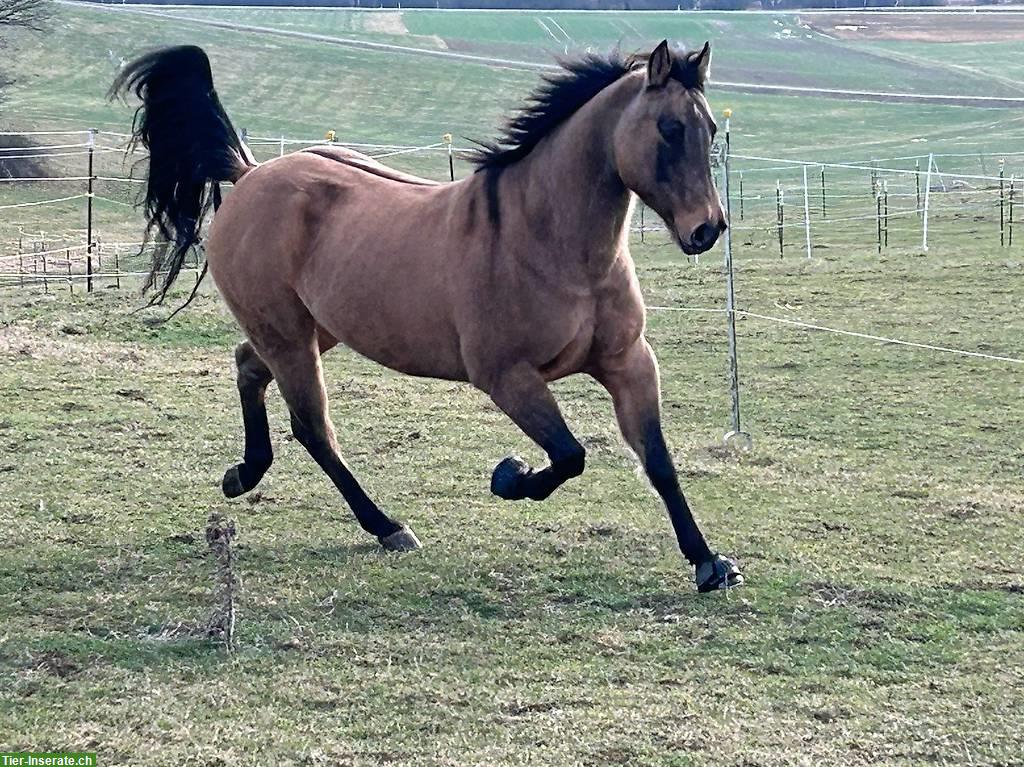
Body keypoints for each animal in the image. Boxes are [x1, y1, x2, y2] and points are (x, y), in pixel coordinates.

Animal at [114, 40, 745, 593]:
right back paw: (387, 527)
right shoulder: (508, 377)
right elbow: (569, 456)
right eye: (670, 129)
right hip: (289, 336)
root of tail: (249, 175)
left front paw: (710, 564)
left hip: (314, 331)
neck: (548, 242)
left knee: (248, 366)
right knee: (313, 427)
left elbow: (657, 461)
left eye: (711, 130)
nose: (706, 229)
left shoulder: (628, 363)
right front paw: (509, 476)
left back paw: (243, 474)